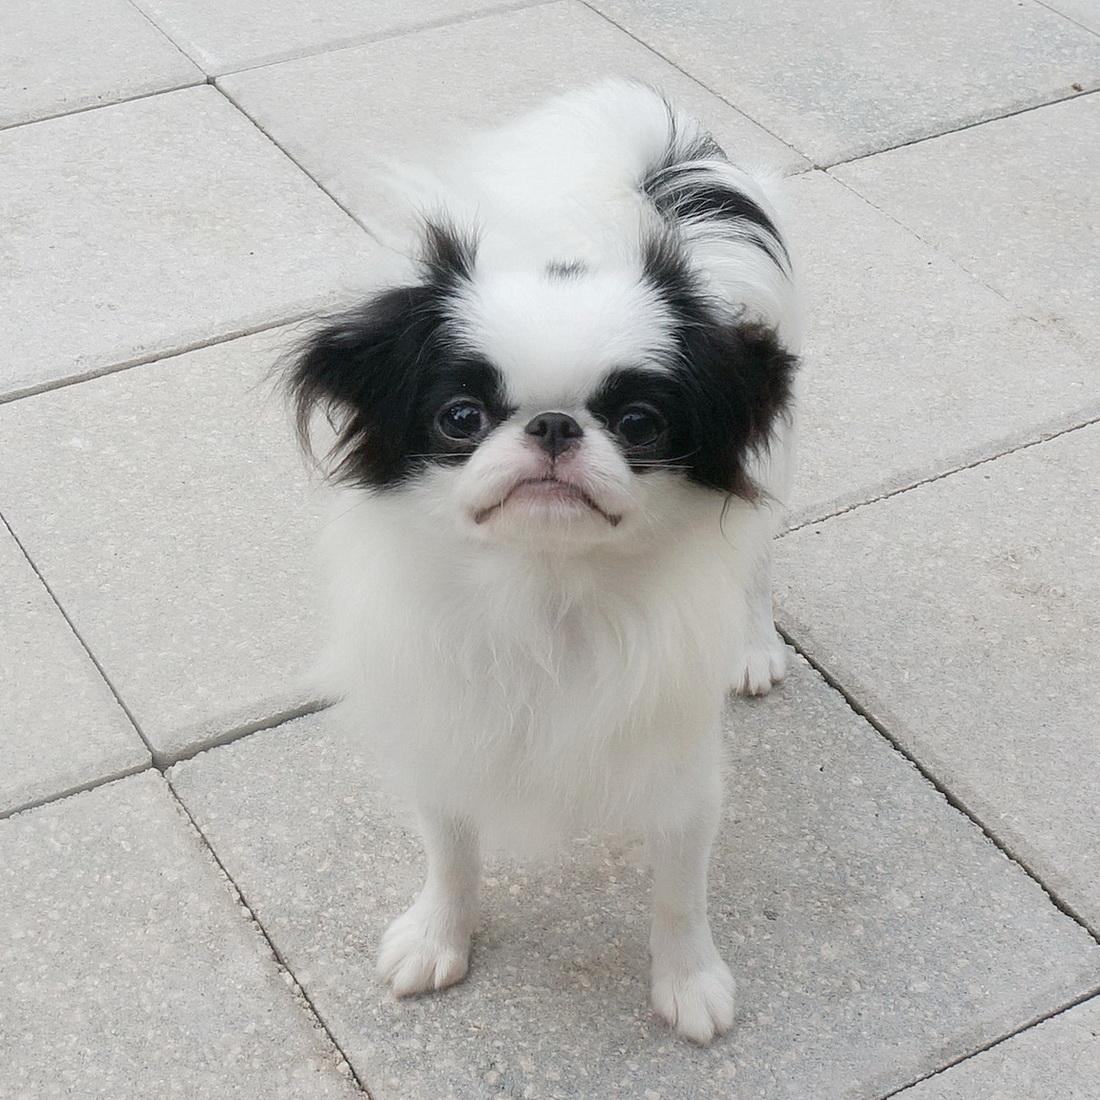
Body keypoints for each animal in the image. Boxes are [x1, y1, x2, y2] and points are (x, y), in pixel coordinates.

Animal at [287, 80, 800, 1045]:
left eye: (639, 423)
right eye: (460, 418)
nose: (555, 425)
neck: (547, 589)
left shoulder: (681, 770)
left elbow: (679, 892)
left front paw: (689, 983)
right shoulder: (448, 734)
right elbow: (452, 854)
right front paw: (438, 938)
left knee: (754, 566)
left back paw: (753, 648)